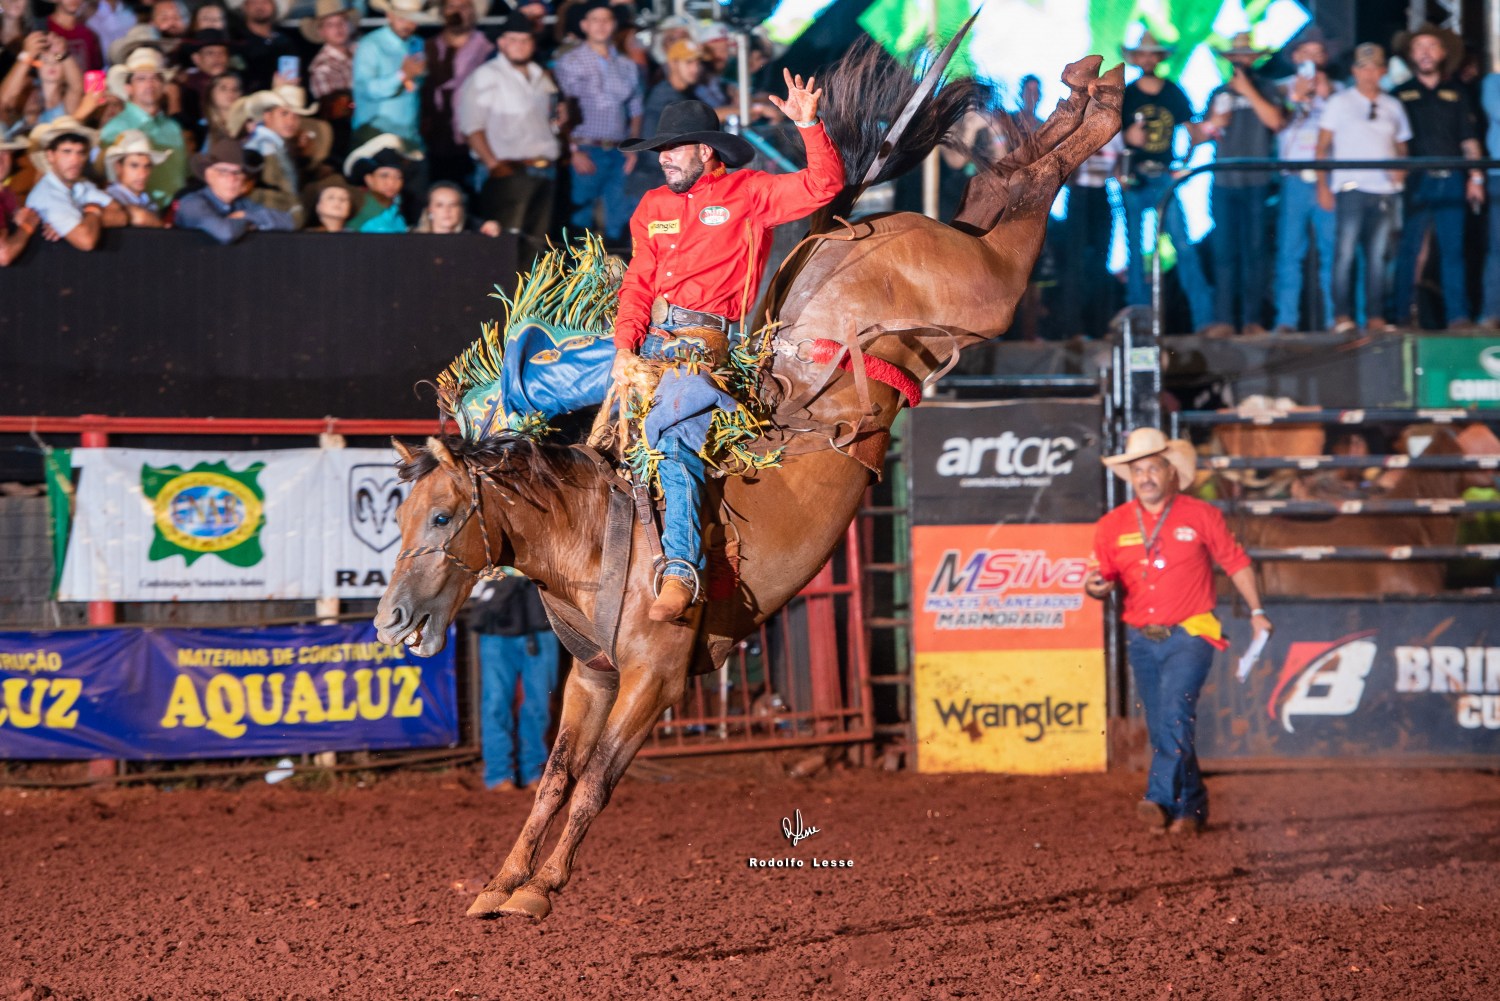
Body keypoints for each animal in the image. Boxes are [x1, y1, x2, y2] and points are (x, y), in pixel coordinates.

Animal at [375, 35, 1128, 918]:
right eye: (399, 518)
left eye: (442, 517)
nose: (390, 617)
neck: (589, 534)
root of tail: (849, 227)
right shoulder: (591, 678)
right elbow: (556, 778)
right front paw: (502, 882)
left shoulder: (655, 679)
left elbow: (595, 781)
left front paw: (542, 887)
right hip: (957, 272)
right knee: (997, 187)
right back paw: (1083, 92)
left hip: (982, 293)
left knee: (1021, 209)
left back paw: (1100, 100)